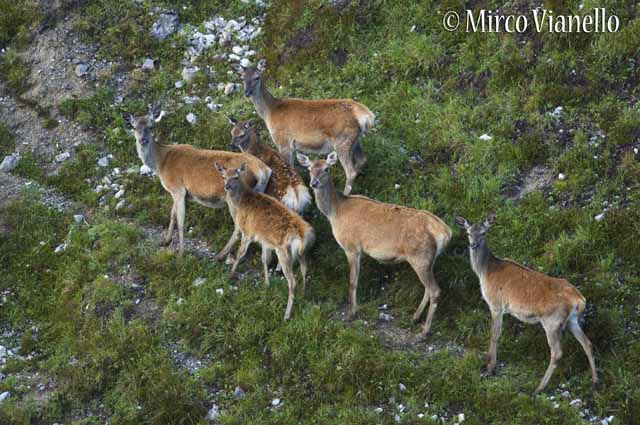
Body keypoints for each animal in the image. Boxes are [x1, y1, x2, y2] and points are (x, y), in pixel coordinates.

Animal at [122, 105, 272, 257]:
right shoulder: (177, 192)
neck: (161, 163)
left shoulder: (178, 188)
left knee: (238, 226)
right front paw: (166, 241)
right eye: (133, 127)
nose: (142, 140)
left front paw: (181, 253)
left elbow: (181, 222)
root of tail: (264, 170)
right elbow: (172, 214)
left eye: (151, 126)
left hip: (235, 196)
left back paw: (221, 254)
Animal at [215, 162, 315, 320]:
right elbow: (264, 259)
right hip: (301, 253)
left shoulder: (247, 231)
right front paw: (267, 283)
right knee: (305, 270)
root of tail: (302, 236)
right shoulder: (265, 240)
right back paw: (303, 294)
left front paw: (230, 274)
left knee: (292, 281)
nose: (227, 187)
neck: (242, 202)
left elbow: (240, 253)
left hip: (284, 252)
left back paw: (287, 314)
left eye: (236, 176)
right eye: (223, 176)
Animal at [242, 59, 375, 196]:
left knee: (351, 171)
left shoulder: (283, 141)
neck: (269, 112)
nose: (246, 92)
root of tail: (366, 116)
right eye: (242, 78)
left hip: (342, 141)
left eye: (257, 77)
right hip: (354, 140)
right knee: (362, 160)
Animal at [296, 152, 452, 338]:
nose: (314, 183)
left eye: (327, 168)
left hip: (420, 256)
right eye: (310, 169)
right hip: (429, 260)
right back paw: (415, 317)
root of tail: (445, 233)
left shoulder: (352, 246)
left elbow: (352, 281)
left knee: (435, 290)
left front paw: (351, 314)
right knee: (428, 289)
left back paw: (424, 332)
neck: (334, 212)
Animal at [455, 214, 598, 394]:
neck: (485, 272)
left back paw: (539, 387)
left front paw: (490, 367)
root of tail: (579, 300)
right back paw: (595, 381)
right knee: (588, 343)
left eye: (483, 232)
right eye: (468, 232)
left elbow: (495, 334)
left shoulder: (496, 304)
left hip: (551, 321)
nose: (473, 245)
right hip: (572, 321)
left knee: (557, 352)